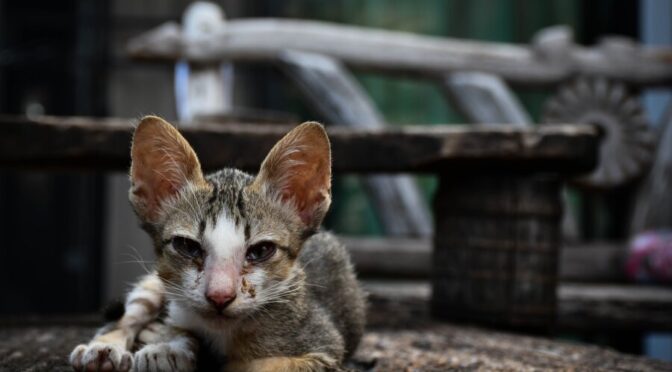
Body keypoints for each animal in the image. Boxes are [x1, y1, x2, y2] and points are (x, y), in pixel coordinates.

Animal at [70, 117, 364, 372]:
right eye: (187, 246)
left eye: (260, 250)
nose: (219, 296)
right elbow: (180, 328)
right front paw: (168, 347)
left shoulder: (326, 348)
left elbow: (258, 365)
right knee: (128, 315)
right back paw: (105, 348)